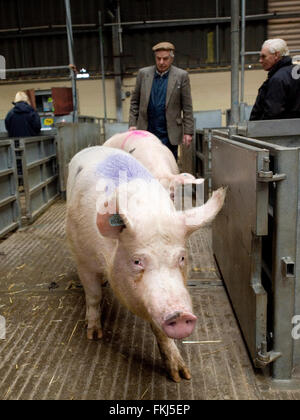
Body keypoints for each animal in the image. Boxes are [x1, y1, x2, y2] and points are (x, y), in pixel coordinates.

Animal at [65, 146, 225, 382]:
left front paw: (180, 375)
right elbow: (93, 295)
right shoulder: (82, 257)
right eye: (137, 261)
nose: (180, 315)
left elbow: (160, 331)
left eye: (182, 258)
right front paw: (94, 334)